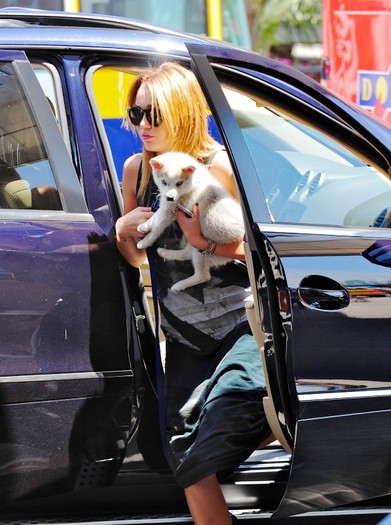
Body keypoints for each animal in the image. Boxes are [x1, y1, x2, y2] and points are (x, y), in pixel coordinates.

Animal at [136, 150, 243, 290]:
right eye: (164, 182)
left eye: (179, 183)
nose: (170, 197)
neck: (191, 183)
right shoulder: (169, 206)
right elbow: (156, 215)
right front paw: (145, 224)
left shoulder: (171, 211)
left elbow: (156, 228)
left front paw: (144, 241)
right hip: (195, 244)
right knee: (186, 253)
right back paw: (166, 253)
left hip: (203, 248)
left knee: (203, 276)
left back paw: (179, 285)